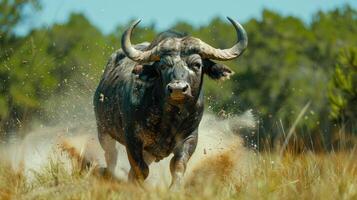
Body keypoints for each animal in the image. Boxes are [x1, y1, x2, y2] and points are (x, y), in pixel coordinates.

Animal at [93, 17, 246, 189]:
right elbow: (140, 169)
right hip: (103, 130)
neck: (170, 117)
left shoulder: (189, 138)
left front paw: (174, 188)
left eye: (197, 65)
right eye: (163, 65)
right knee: (110, 155)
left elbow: (178, 166)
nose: (178, 89)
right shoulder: (132, 137)